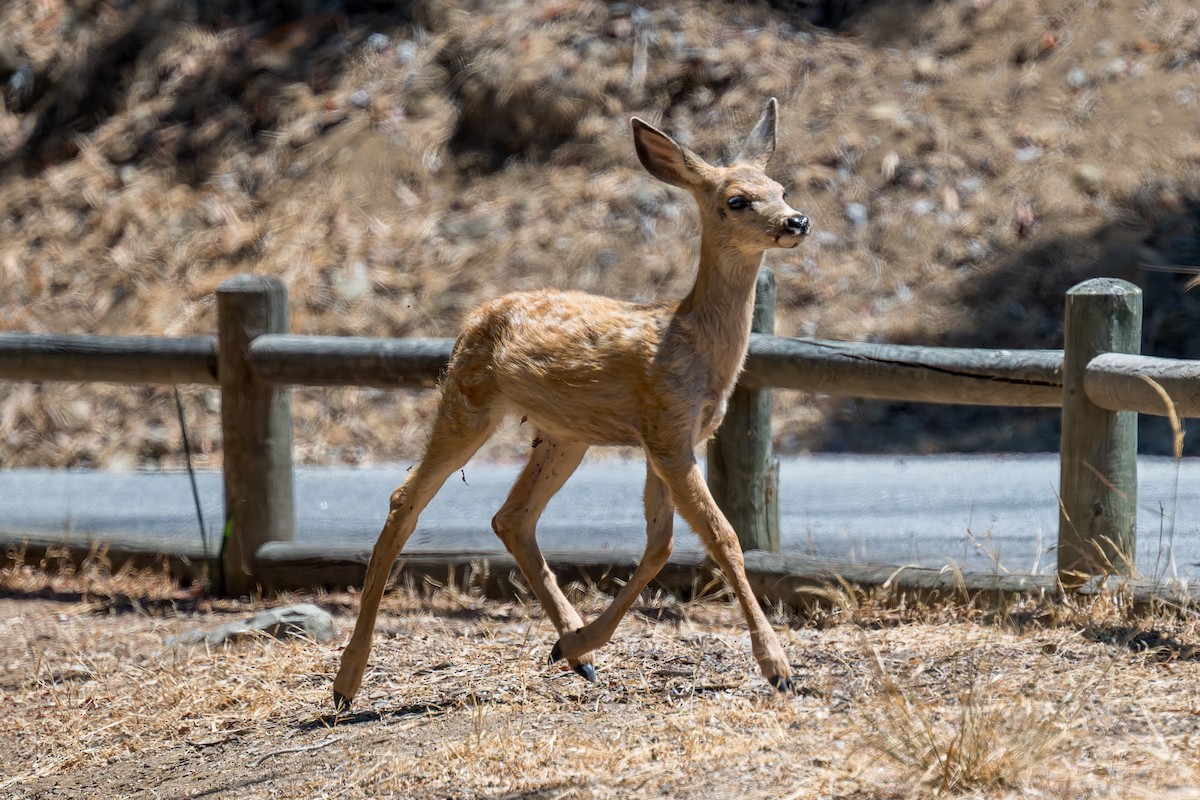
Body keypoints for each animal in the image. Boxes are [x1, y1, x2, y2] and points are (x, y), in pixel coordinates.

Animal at [332, 98, 811, 711]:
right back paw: (346, 683)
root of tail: (472, 319)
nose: (797, 221)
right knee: (406, 499)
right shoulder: (668, 431)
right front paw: (778, 667)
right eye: (737, 200)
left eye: (780, 187)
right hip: (469, 401)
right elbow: (724, 539)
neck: (693, 345)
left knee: (511, 516)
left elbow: (660, 545)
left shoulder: (666, 438)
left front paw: (580, 642)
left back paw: (575, 652)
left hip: (564, 434)